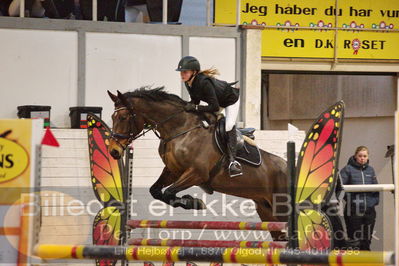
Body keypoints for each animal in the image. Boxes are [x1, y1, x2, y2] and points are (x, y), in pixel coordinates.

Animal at [108, 88, 290, 241]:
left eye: (123, 117)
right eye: (112, 117)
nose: (113, 151)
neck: (180, 129)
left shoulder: (197, 173)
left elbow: (169, 192)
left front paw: (193, 202)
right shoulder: (173, 171)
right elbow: (156, 191)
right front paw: (191, 202)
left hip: (281, 208)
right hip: (266, 210)